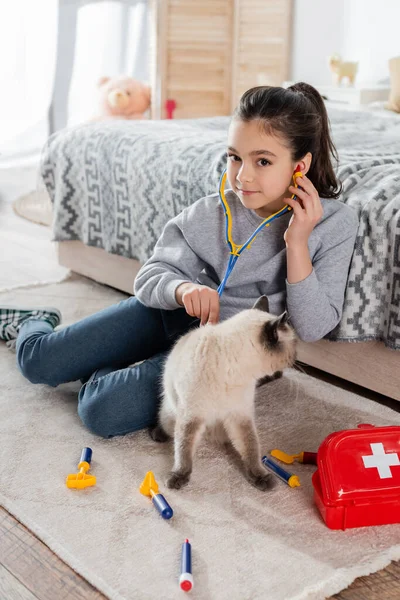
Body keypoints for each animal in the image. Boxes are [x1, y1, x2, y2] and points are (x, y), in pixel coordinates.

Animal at [150, 296, 296, 492]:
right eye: (294, 344)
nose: (296, 356)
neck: (234, 371)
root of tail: (209, 435)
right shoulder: (192, 416)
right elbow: (183, 450)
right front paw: (179, 477)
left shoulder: (240, 416)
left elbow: (251, 448)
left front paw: (261, 477)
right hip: (172, 414)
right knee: (169, 429)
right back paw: (157, 434)